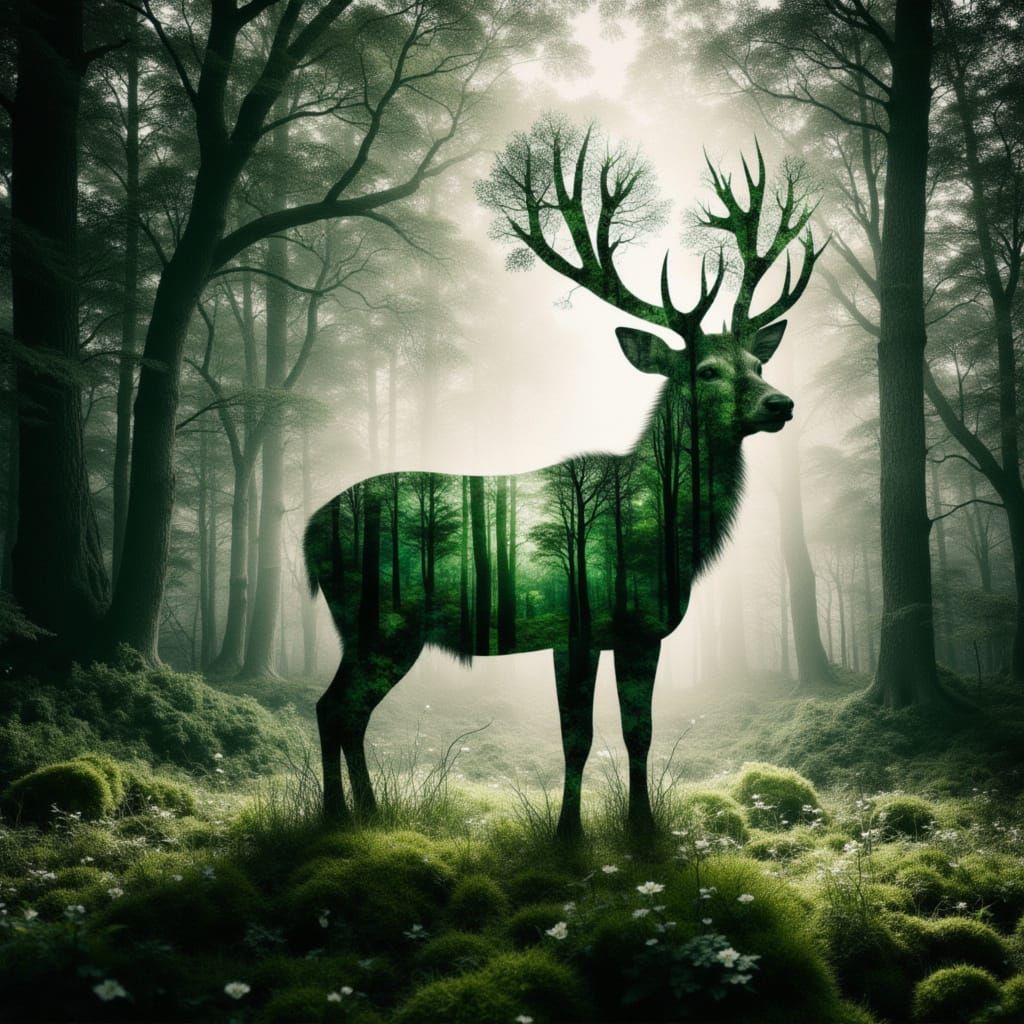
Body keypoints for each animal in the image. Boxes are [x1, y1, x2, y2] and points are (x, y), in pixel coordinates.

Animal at [304, 122, 821, 839]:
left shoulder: (641, 632)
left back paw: (372, 814)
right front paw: (568, 833)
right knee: (332, 708)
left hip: (376, 626)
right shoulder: (571, 621)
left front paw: (642, 828)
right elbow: (577, 736)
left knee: (349, 713)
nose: (781, 404)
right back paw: (336, 817)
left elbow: (638, 732)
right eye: (706, 370)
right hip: (378, 616)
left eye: (757, 362)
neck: (658, 540)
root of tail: (306, 531)